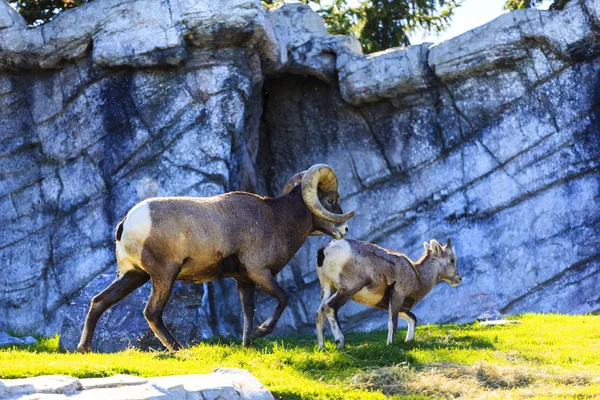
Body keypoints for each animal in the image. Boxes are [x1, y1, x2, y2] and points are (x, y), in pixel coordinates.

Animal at [77, 164, 354, 352]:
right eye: (331, 199)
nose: (345, 230)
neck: (276, 219)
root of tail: (126, 223)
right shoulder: (260, 273)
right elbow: (283, 299)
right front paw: (261, 332)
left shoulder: (244, 281)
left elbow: (248, 312)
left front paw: (247, 343)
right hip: (164, 276)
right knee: (152, 313)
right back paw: (179, 350)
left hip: (133, 275)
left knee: (99, 302)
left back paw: (84, 349)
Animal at [316, 239, 462, 348]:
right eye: (452, 260)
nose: (459, 278)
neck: (418, 276)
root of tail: (326, 249)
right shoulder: (397, 296)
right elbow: (393, 322)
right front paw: (389, 345)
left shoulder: (392, 305)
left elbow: (412, 318)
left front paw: (408, 341)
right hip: (348, 289)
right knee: (330, 307)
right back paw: (341, 343)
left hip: (328, 288)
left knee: (320, 311)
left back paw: (321, 347)